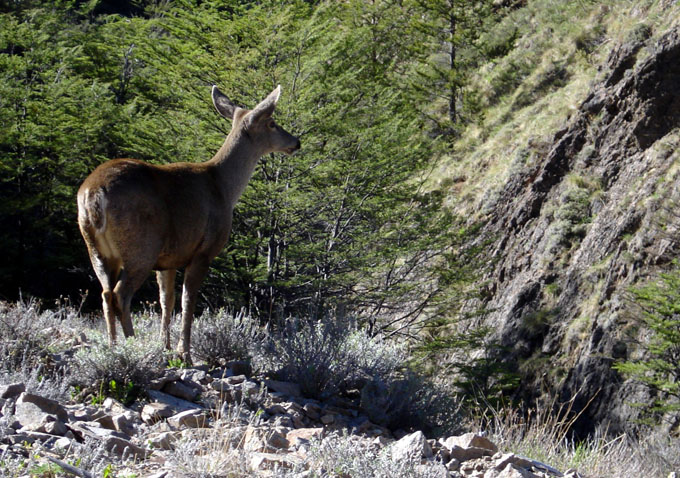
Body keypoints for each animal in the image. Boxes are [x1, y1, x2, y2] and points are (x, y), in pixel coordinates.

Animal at [77, 85, 300, 362]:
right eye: (271, 123)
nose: (296, 142)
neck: (223, 187)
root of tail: (93, 194)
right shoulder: (203, 251)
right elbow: (188, 301)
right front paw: (185, 353)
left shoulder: (168, 259)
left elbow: (167, 301)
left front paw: (165, 348)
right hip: (141, 247)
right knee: (120, 294)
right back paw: (131, 347)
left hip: (98, 249)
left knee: (106, 294)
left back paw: (112, 347)